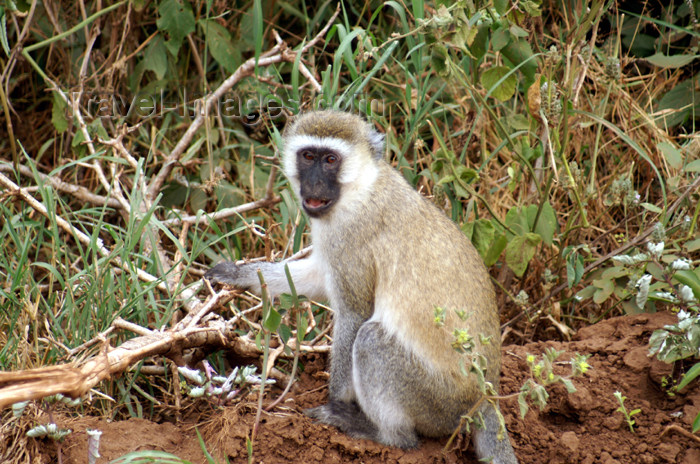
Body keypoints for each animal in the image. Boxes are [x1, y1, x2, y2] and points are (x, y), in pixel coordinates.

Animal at [205, 110, 516, 462]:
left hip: (439, 404)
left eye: (330, 160)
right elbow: (315, 277)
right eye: (308, 156)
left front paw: (335, 401)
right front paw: (239, 273)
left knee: (372, 341)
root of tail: (486, 399)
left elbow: (354, 313)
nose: (314, 183)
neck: (362, 185)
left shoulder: (348, 236)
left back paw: (385, 434)